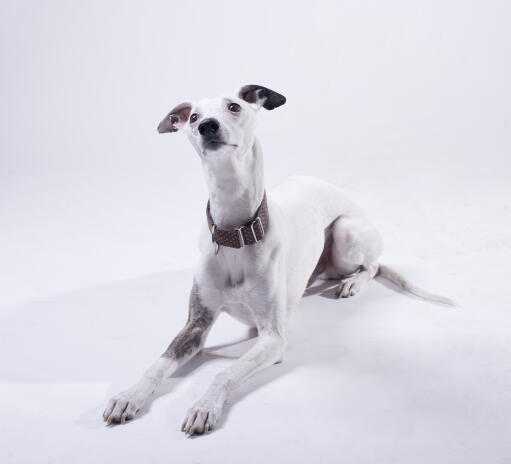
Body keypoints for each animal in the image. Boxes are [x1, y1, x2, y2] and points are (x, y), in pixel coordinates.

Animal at [102, 86, 454, 436]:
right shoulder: (197, 324)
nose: (207, 126)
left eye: (234, 106)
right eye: (193, 117)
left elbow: (225, 372)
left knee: (373, 264)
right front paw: (128, 396)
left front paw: (204, 407)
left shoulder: (273, 337)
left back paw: (352, 282)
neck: (235, 234)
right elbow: (158, 364)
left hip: (347, 232)